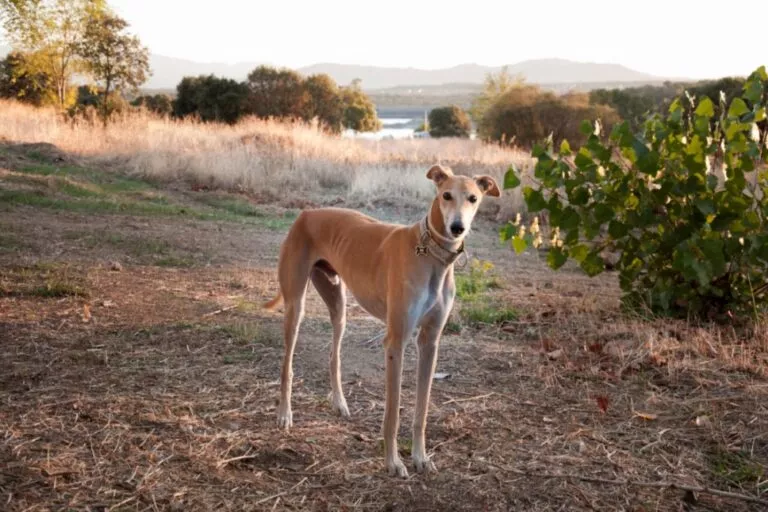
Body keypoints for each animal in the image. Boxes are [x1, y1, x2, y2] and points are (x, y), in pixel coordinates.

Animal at [264, 163, 500, 476]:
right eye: (446, 195)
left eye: (473, 198)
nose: (457, 228)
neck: (430, 254)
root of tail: (307, 213)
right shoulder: (396, 342)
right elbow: (392, 413)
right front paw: (393, 462)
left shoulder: (430, 342)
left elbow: (422, 410)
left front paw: (420, 457)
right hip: (295, 305)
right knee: (286, 365)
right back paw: (284, 414)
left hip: (338, 304)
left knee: (334, 355)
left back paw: (339, 403)